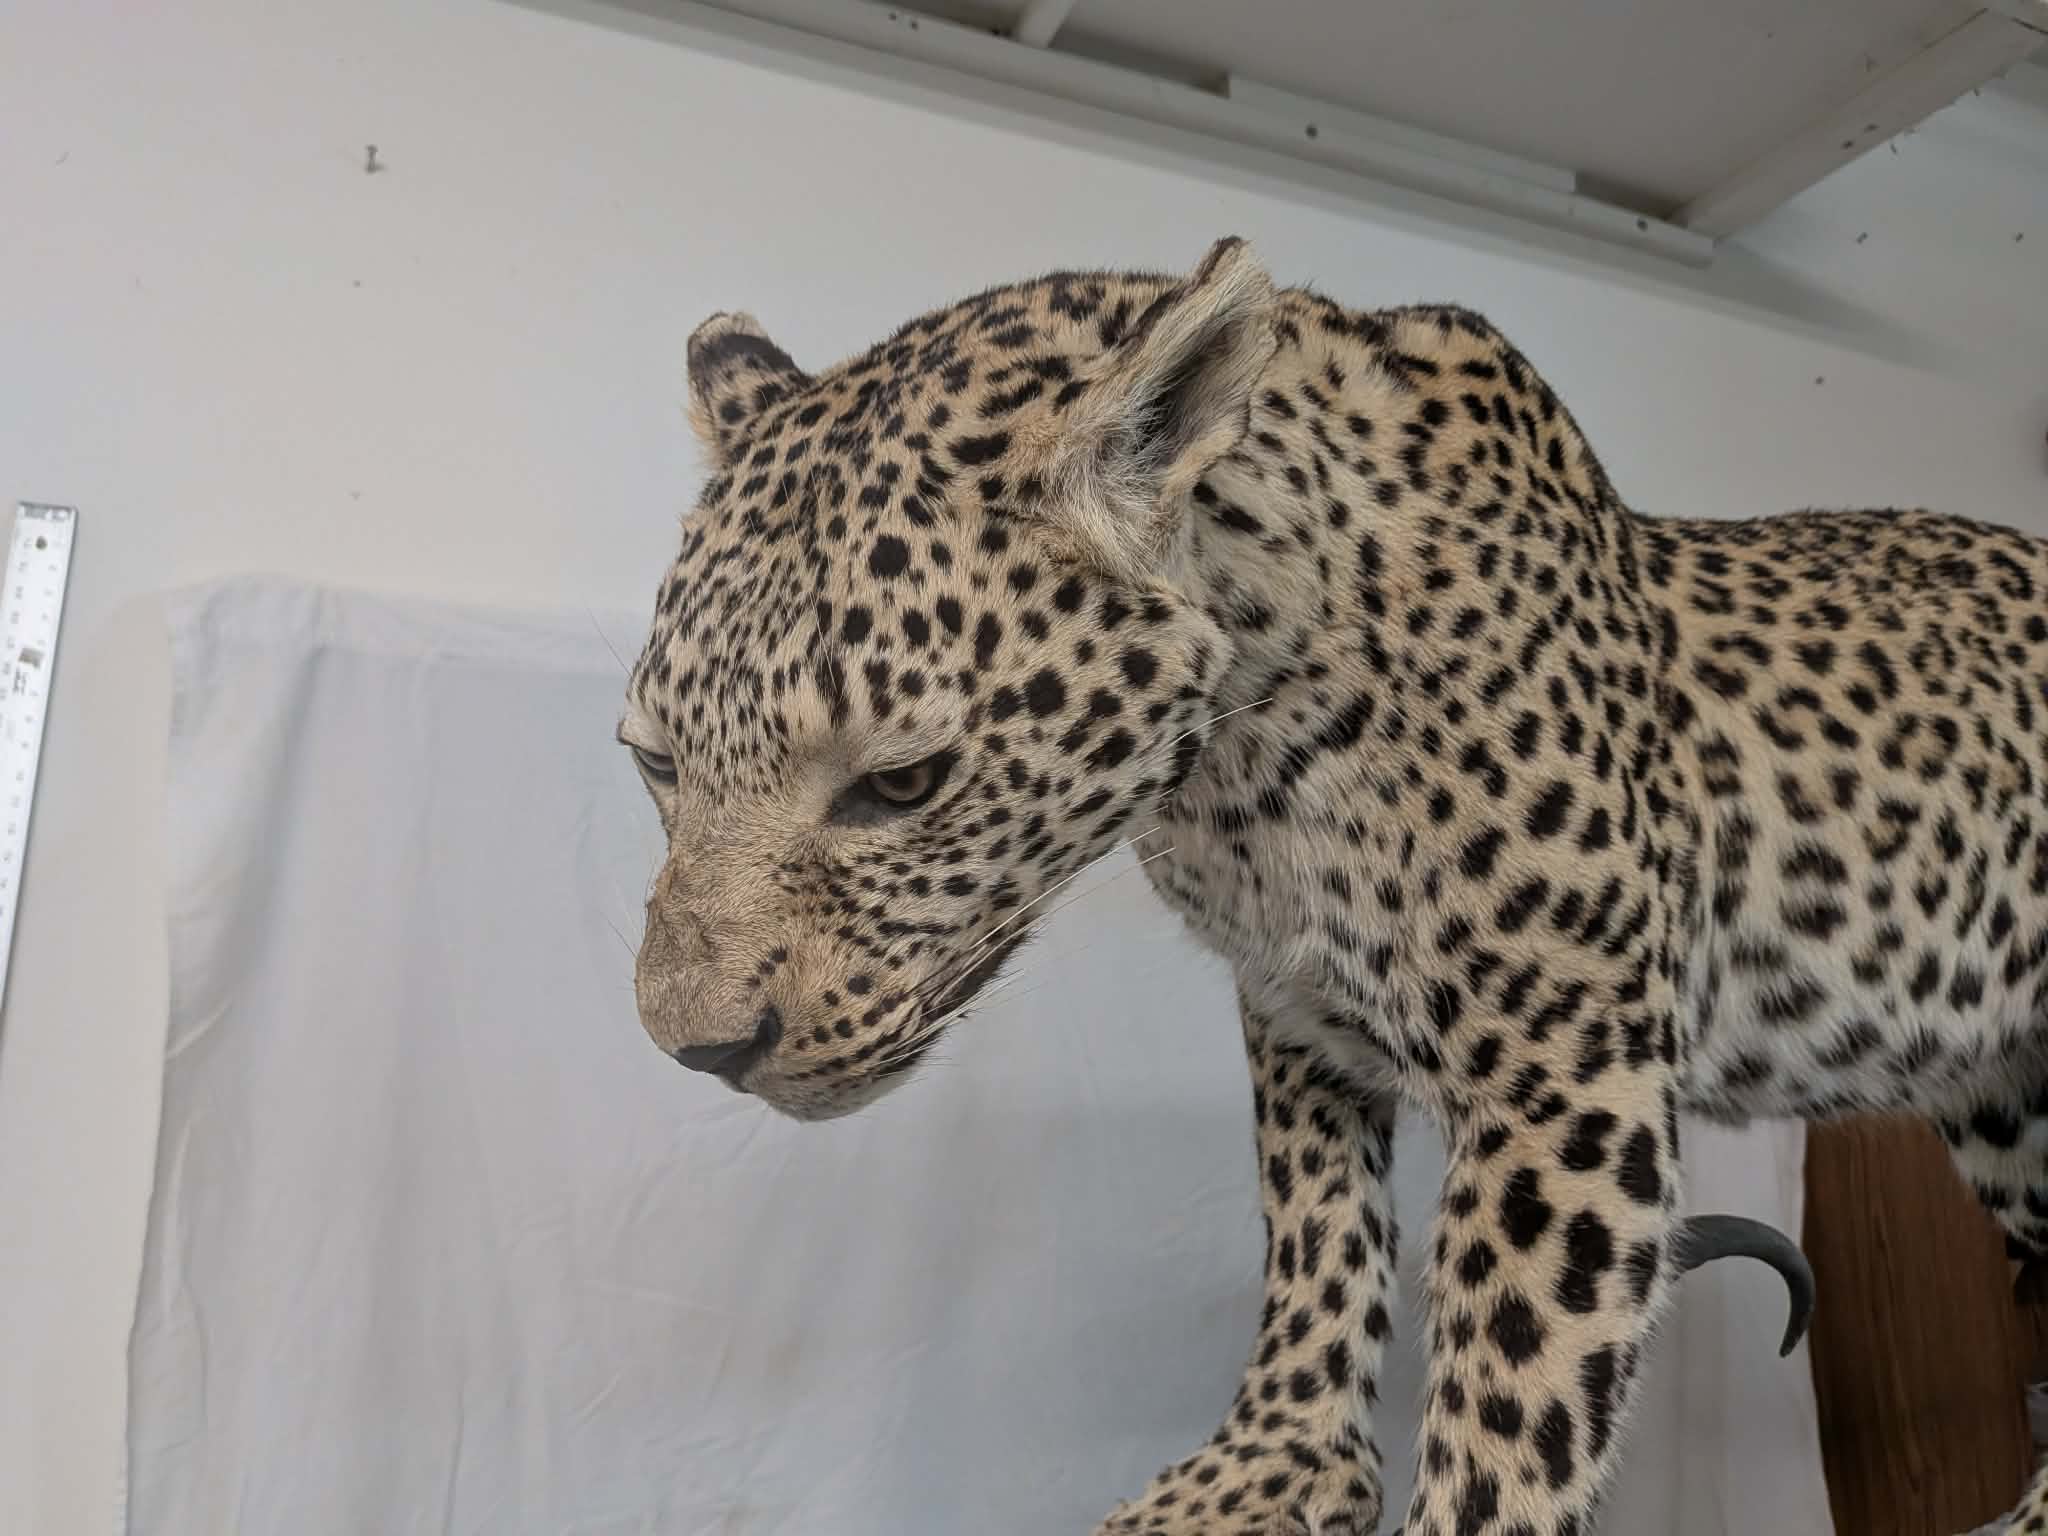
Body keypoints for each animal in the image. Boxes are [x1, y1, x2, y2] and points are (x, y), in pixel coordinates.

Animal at [619, 236, 2048, 1534]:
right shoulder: (1292, 1010)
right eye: (653, 763)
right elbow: (1312, 1227)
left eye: (903, 784)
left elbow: (1511, 1400)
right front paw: (1275, 1467)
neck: (1238, 771)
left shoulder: (1565, 1073)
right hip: (2009, 1106)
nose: (698, 1052)